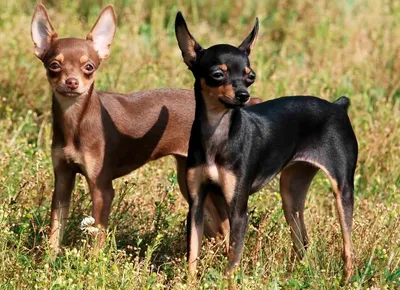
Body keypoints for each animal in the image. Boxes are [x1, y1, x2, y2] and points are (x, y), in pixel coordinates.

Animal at [177, 11, 358, 284]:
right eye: (218, 74)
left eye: (250, 76)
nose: (243, 95)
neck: (218, 134)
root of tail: (338, 106)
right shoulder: (196, 205)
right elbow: (192, 257)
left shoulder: (238, 211)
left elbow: (232, 263)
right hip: (291, 192)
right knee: (303, 242)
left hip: (342, 191)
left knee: (348, 248)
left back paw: (346, 280)